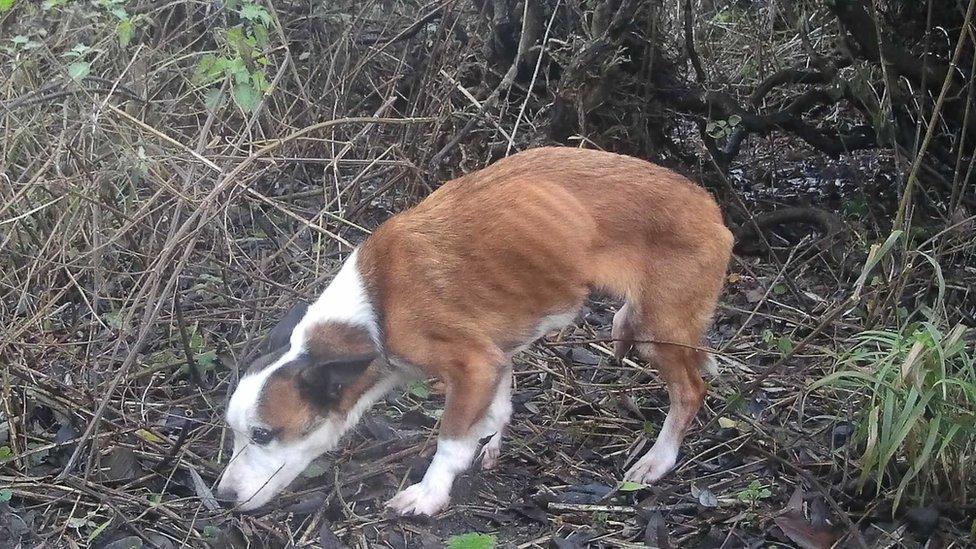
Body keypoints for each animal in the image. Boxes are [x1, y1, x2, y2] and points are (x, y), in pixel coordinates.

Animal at [215, 146, 732, 512]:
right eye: (236, 433)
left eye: (263, 435)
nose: (221, 499)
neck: (375, 308)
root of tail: (711, 206)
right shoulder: (495, 357)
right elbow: (497, 410)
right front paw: (489, 444)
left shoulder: (473, 364)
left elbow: (449, 440)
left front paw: (428, 495)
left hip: (656, 328)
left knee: (690, 391)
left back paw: (658, 460)